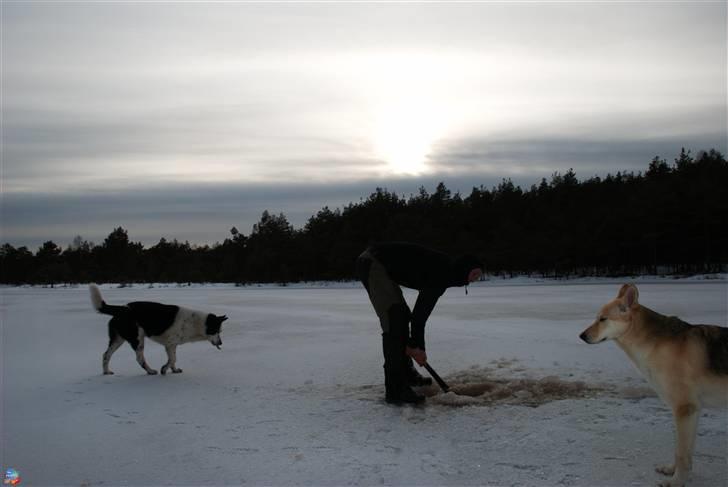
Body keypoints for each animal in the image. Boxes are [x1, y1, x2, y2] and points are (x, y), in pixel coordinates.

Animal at [91, 286, 228, 378]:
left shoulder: (172, 345)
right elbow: (172, 358)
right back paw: (150, 371)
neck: (196, 322)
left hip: (118, 339)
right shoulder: (170, 344)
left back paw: (106, 372)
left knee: (106, 355)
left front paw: (174, 370)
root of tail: (121, 309)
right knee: (139, 358)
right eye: (217, 331)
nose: (221, 343)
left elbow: (173, 359)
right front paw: (164, 369)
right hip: (138, 339)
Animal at [580, 284, 728, 486]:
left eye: (603, 319)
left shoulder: (684, 408)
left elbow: (681, 452)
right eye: (597, 318)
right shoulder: (693, 410)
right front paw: (673, 471)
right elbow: (685, 451)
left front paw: (676, 482)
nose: (581, 336)